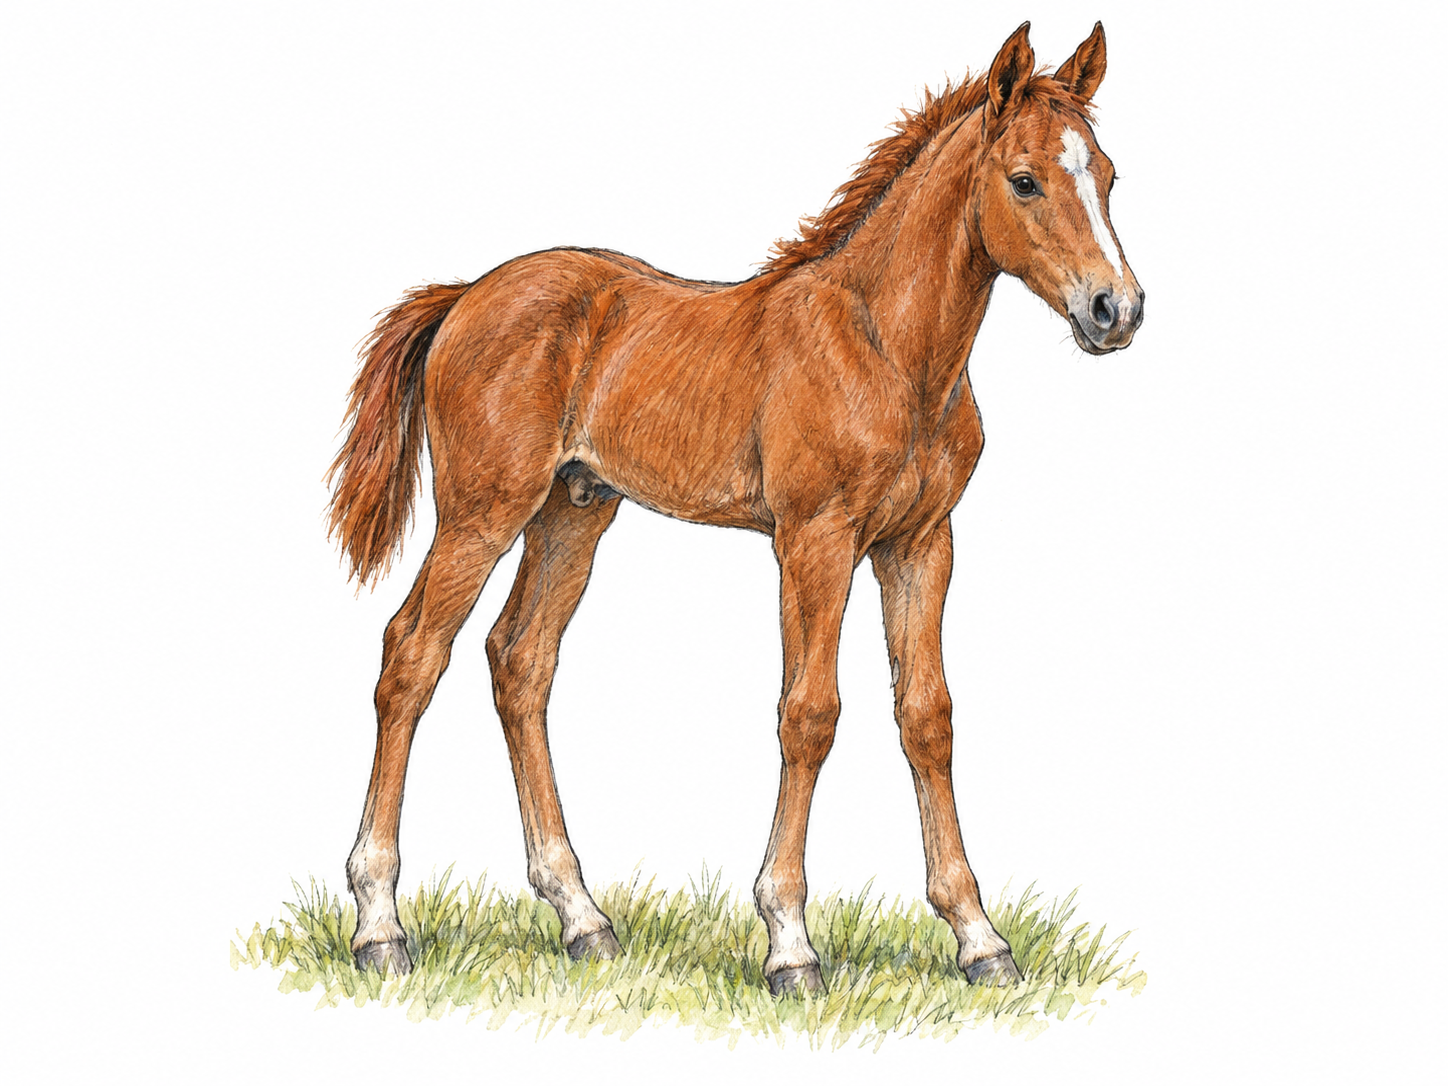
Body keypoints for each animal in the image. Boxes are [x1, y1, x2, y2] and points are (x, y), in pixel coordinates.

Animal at [327, 21, 1143, 995]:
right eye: (1024, 180)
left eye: (1107, 175)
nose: (1117, 309)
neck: (885, 347)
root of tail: (464, 297)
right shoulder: (814, 541)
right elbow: (810, 714)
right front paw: (789, 942)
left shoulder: (921, 543)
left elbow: (928, 716)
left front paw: (978, 937)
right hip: (482, 514)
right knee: (413, 654)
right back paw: (379, 923)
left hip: (572, 513)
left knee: (520, 663)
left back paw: (581, 916)